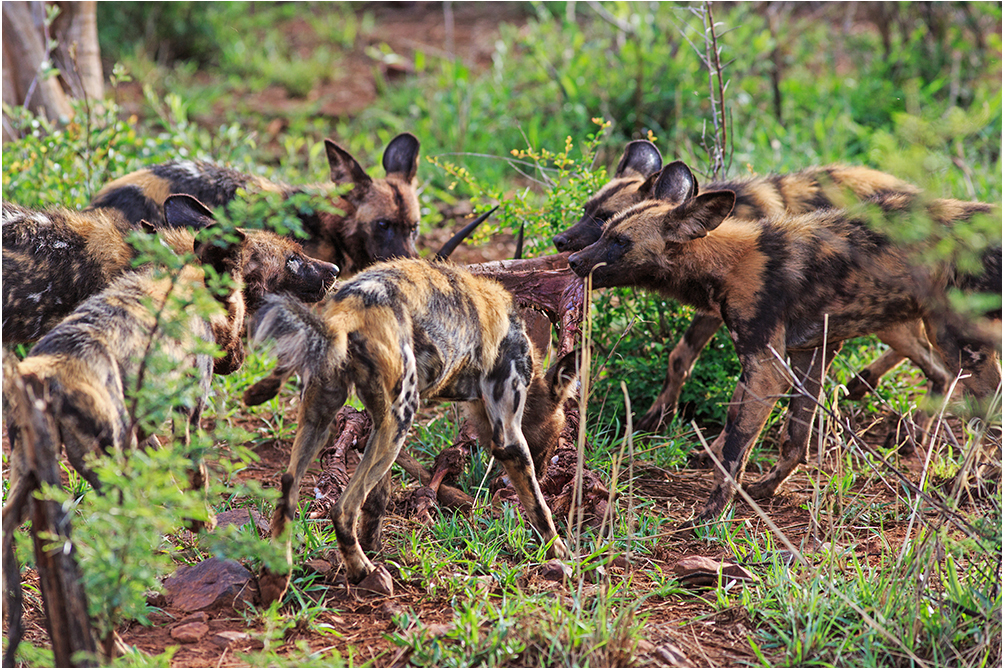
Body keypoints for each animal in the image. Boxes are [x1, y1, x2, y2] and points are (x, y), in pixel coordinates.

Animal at [240, 259, 582, 606]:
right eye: (558, 430)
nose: (545, 468)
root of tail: (347, 312)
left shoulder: (380, 423)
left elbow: (377, 499)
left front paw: (374, 544)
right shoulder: (509, 438)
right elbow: (539, 507)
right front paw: (559, 551)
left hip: (327, 419)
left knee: (288, 493)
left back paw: (276, 578)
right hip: (401, 419)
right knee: (343, 508)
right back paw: (361, 570)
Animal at [554, 140, 952, 435]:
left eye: (605, 221)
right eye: (587, 210)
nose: (561, 242)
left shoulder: (728, 314)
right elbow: (679, 357)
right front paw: (659, 414)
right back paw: (864, 384)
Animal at [570, 160, 1000, 522]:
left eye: (619, 240)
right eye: (603, 228)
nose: (572, 259)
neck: (727, 261)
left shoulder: (766, 369)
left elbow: (734, 449)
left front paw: (712, 512)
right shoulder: (809, 354)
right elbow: (795, 437)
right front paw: (767, 487)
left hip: (956, 343)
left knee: (985, 415)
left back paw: (965, 484)